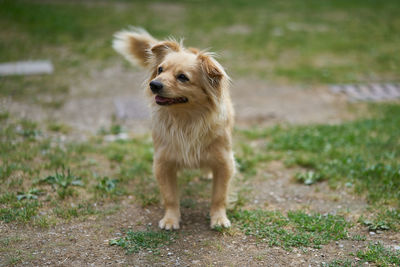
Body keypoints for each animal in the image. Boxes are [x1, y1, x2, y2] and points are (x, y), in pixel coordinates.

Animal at [112, 27, 234, 230]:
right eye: (160, 70)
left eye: (182, 77)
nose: (154, 84)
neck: (185, 121)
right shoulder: (163, 163)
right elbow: (170, 196)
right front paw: (170, 220)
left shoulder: (224, 162)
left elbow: (219, 195)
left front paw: (218, 218)